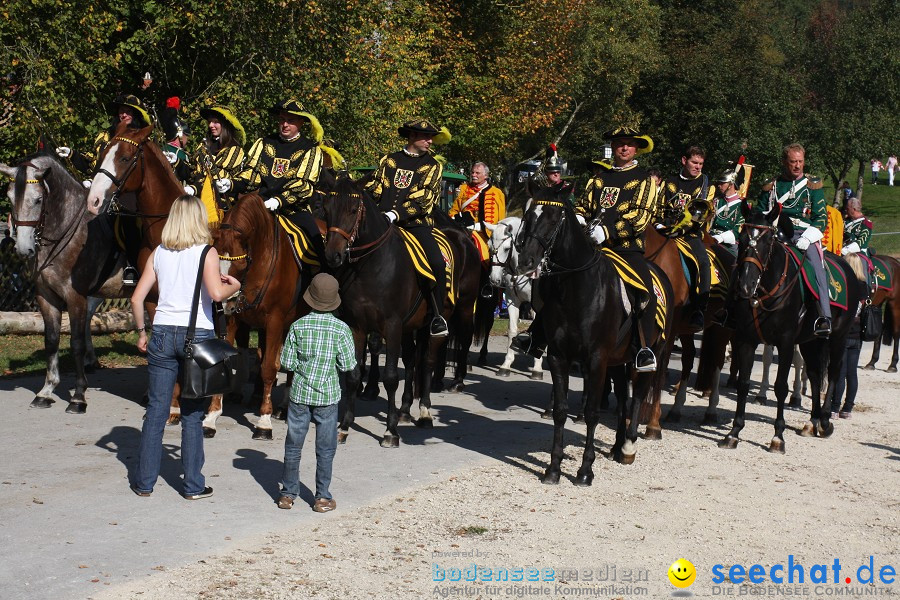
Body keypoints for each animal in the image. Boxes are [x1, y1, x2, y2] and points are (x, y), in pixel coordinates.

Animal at [1, 154, 128, 412]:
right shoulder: (46, 296)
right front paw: (46, 391)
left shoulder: (74, 297)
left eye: (38, 199)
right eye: (9, 198)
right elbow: (51, 341)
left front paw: (78, 396)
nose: (23, 248)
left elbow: (76, 343)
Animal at [320, 176, 482, 448]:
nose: (333, 255)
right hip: (415, 325)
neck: (372, 265)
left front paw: (390, 431)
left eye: (353, 210)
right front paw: (344, 426)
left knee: (429, 360)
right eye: (326, 209)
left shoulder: (392, 325)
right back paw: (405, 410)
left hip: (457, 312)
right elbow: (353, 375)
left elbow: (391, 376)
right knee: (413, 358)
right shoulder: (358, 326)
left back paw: (426, 411)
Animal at [486, 218, 540, 382]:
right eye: (489, 246)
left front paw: (537, 368)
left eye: (507, 248)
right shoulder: (512, 301)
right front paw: (506, 364)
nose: (494, 279)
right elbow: (512, 330)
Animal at [512, 185, 676, 486]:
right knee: (623, 399)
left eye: (554, 218)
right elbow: (561, 410)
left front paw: (585, 470)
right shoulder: (559, 357)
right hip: (619, 361)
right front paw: (553, 468)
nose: (527, 261)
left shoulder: (596, 359)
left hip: (652, 352)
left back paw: (628, 447)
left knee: (638, 395)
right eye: (528, 217)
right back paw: (616, 446)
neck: (577, 289)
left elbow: (591, 413)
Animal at [720, 209, 860, 452]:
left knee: (833, 372)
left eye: (767, 241)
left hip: (838, 337)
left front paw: (778, 437)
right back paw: (812, 421)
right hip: (810, 341)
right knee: (814, 374)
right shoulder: (745, 340)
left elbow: (780, 387)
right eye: (743, 238)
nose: (745, 285)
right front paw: (734, 432)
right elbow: (744, 384)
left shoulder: (785, 343)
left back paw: (824, 421)